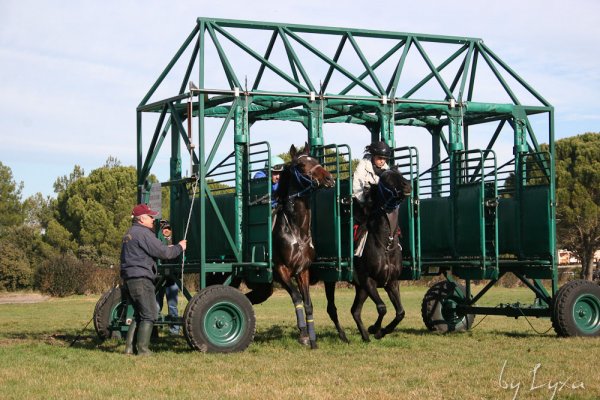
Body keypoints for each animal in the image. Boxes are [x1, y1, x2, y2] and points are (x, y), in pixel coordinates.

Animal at [350, 168, 414, 340]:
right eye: (386, 179)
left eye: (400, 173)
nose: (407, 185)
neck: (386, 244)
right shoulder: (368, 280)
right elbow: (382, 307)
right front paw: (375, 328)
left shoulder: (391, 282)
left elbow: (400, 312)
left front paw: (382, 331)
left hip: (361, 289)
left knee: (355, 311)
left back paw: (365, 336)